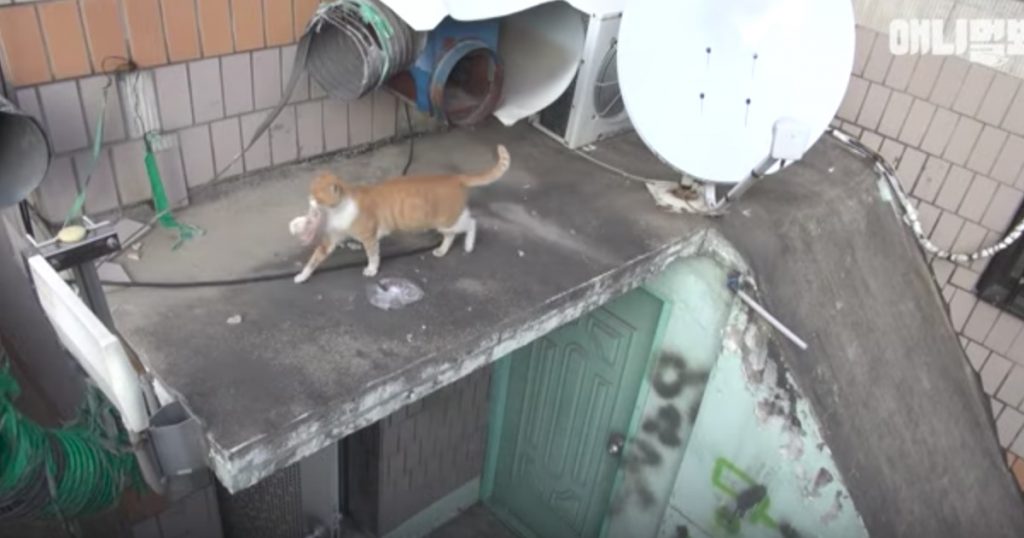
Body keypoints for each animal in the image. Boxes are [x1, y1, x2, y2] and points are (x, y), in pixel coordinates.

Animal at [292, 144, 507, 282]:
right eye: (310, 193)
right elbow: (313, 260)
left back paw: (469, 245)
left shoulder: (370, 238)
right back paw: (442, 250)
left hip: (449, 220)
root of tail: (455, 177)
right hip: (446, 223)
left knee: (472, 222)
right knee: (452, 235)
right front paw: (302, 276)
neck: (339, 210)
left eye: (317, 198)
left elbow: (373, 255)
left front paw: (372, 270)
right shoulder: (331, 240)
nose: (309, 201)